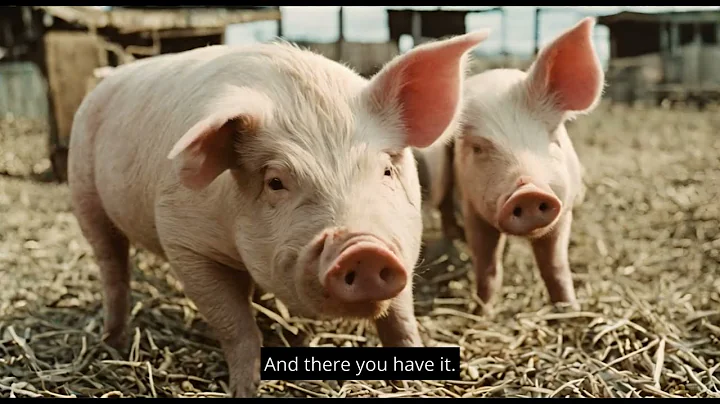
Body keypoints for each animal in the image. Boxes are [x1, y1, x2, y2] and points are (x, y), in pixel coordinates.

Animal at [67, 30, 490, 397]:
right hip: (84, 193)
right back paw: (114, 340)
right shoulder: (184, 242)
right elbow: (235, 326)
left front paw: (416, 385)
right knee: (112, 266)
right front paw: (245, 390)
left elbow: (401, 320)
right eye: (275, 182)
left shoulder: (403, 244)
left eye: (386, 170)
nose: (363, 249)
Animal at [419, 17, 604, 313]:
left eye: (553, 139)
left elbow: (555, 266)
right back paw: (453, 240)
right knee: (445, 204)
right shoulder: (474, 209)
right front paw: (481, 313)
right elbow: (487, 267)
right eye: (478, 148)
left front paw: (570, 311)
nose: (527, 192)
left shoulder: (563, 211)